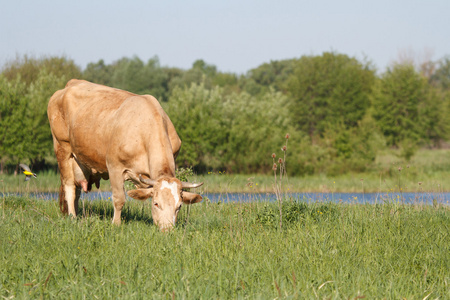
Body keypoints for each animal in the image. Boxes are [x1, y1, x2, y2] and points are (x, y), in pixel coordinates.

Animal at [48, 79, 202, 230]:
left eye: (179, 206)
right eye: (156, 203)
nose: (167, 230)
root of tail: (71, 83)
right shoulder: (114, 166)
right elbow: (119, 199)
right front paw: (116, 224)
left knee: (77, 190)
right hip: (62, 148)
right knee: (69, 186)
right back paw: (72, 217)